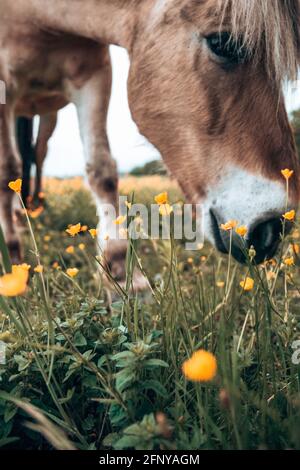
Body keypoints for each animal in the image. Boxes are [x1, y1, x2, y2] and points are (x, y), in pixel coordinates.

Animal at [0, 0, 300, 282]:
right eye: (222, 43)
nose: (272, 230)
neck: (37, 20)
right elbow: (7, 171)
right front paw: (13, 266)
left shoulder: (93, 76)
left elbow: (102, 170)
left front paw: (124, 275)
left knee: (38, 154)